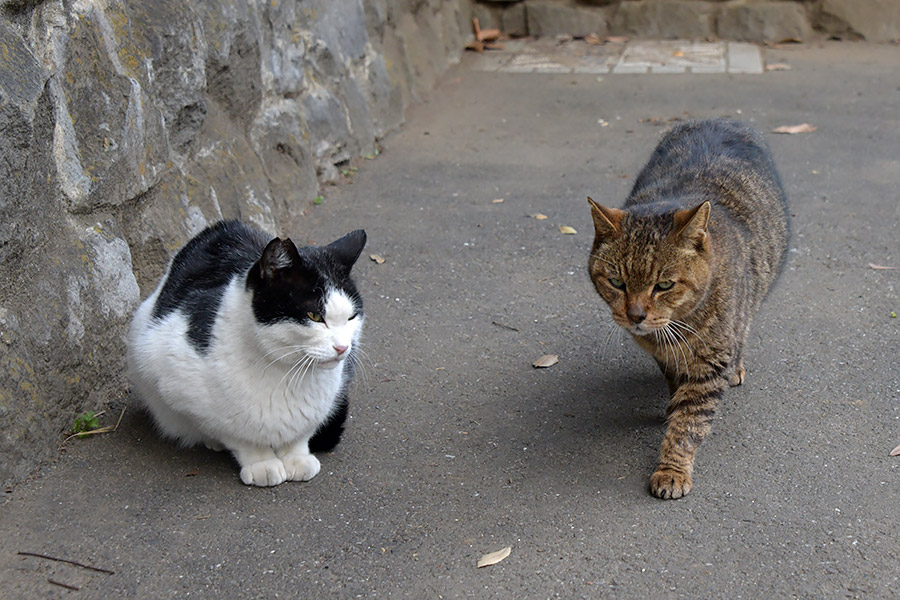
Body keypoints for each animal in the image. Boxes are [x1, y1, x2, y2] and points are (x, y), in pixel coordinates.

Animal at [126, 220, 366, 488]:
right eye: (314, 316)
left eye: (351, 317)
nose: (343, 347)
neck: (286, 372)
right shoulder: (169, 368)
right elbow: (237, 433)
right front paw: (261, 462)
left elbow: (301, 432)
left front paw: (296, 457)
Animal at [588, 117, 784, 496]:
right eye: (617, 282)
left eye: (664, 285)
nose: (635, 315)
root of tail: (724, 119)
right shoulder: (664, 356)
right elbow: (674, 386)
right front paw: (671, 403)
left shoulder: (709, 364)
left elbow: (688, 423)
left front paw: (672, 469)